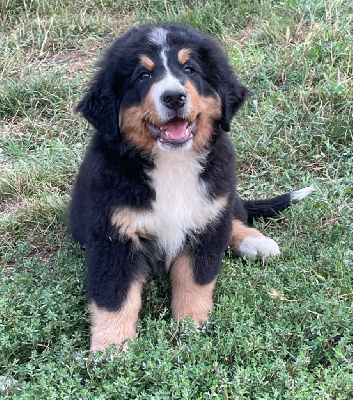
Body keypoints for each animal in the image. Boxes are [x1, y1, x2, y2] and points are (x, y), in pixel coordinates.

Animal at [70, 23, 312, 352]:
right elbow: (113, 297)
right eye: (143, 76)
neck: (172, 163)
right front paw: (111, 350)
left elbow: (195, 280)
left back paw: (256, 243)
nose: (174, 97)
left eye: (190, 69)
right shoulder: (113, 235)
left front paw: (191, 328)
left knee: (232, 219)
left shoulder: (205, 218)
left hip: (222, 198)